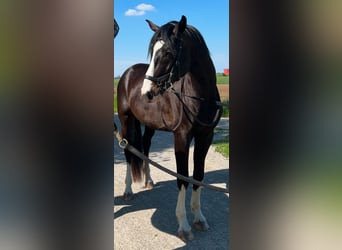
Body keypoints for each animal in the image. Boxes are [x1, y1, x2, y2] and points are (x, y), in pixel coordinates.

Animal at [117, 15, 222, 240]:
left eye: (168, 53)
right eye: (153, 51)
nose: (146, 91)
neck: (200, 97)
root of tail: (127, 73)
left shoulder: (205, 137)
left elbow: (197, 176)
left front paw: (199, 218)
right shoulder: (181, 137)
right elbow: (182, 178)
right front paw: (184, 225)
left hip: (149, 125)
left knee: (146, 148)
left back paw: (148, 180)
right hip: (125, 120)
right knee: (129, 154)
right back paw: (128, 191)